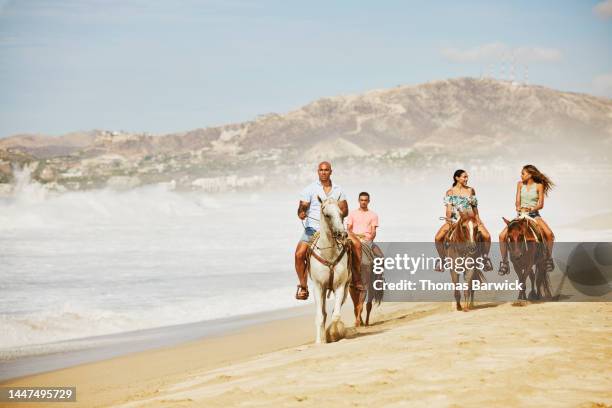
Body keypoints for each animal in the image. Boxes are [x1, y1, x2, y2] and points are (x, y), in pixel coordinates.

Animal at [308, 196, 352, 342]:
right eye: (327, 215)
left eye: (341, 213)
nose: (342, 234)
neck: (328, 254)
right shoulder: (318, 287)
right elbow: (319, 317)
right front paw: (319, 341)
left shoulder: (340, 286)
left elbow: (336, 315)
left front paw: (333, 334)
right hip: (322, 291)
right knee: (323, 313)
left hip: (345, 290)